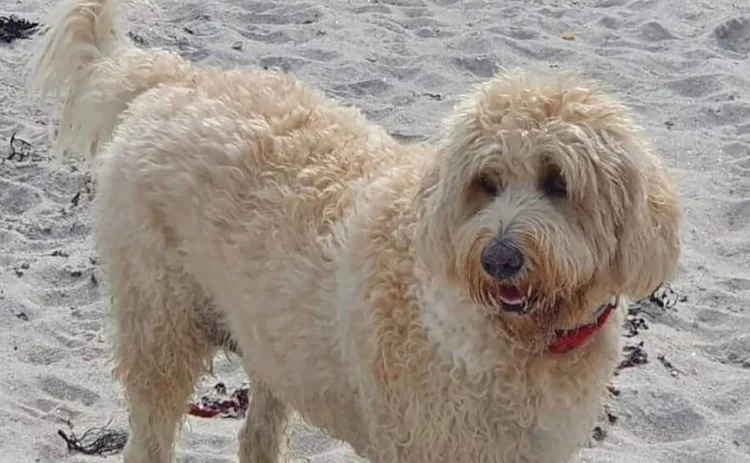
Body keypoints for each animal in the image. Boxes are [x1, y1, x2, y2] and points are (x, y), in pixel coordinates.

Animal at [28, 0, 681, 461]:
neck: (523, 338)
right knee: (150, 433)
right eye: (486, 182)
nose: (498, 259)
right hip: (158, 326)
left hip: (271, 338)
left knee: (256, 437)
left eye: (558, 182)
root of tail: (171, 81)